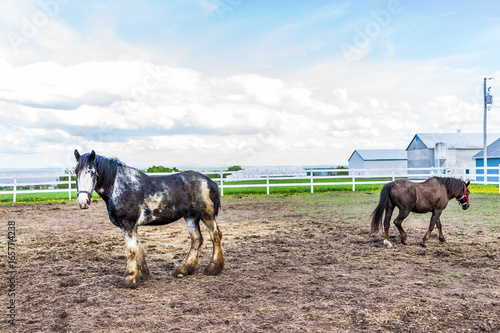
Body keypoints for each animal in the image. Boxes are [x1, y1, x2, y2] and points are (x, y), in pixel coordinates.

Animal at [73, 149, 224, 286]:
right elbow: (139, 248)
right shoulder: (132, 226)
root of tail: (211, 182)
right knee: (197, 239)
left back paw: (213, 268)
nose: (82, 202)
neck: (119, 186)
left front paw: (130, 279)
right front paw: (142, 274)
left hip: (207, 215)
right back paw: (184, 270)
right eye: (75, 172)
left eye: (91, 172)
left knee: (215, 236)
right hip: (190, 217)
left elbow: (131, 250)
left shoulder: (128, 224)